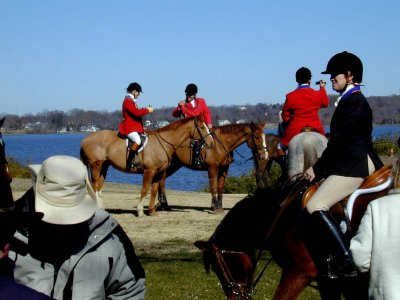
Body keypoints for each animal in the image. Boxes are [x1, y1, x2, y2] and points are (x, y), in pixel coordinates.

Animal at [79, 116, 214, 217]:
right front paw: (139, 211)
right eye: (202, 127)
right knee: (95, 187)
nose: (211, 143)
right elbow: (144, 190)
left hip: (104, 166)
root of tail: (85, 139)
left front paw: (152, 211)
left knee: (99, 187)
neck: (163, 143)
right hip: (96, 166)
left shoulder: (158, 172)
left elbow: (153, 190)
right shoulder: (149, 171)